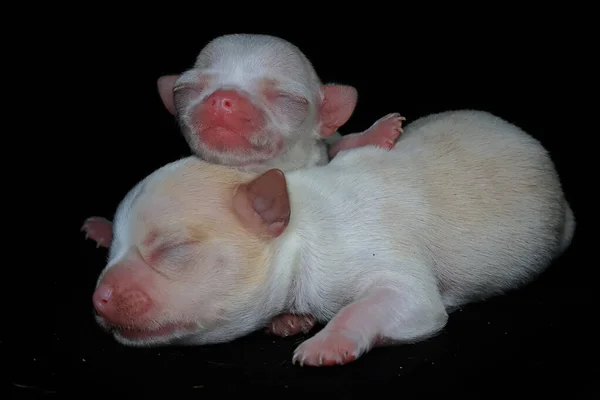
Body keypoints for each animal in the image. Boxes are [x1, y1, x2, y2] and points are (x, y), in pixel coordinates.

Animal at [91, 108, 576, 366]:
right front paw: (291, 321)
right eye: (112, 251)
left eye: (172, 250)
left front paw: (326, 342)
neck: (304, 225)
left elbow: (377, 304)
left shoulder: (399, 280)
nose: (98, 298)